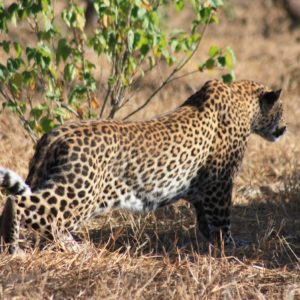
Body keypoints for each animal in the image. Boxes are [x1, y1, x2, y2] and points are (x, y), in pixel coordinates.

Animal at [0, 79, 286, 253]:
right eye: (281, 111)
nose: (285, 128)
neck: (244, 104)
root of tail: (54, 135)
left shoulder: (202, 191)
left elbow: (205, 220)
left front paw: (211, 242)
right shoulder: (220, 185)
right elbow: (222, 220)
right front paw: (230, 245)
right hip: (80, 189)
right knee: (33, 209)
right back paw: (25, 247)